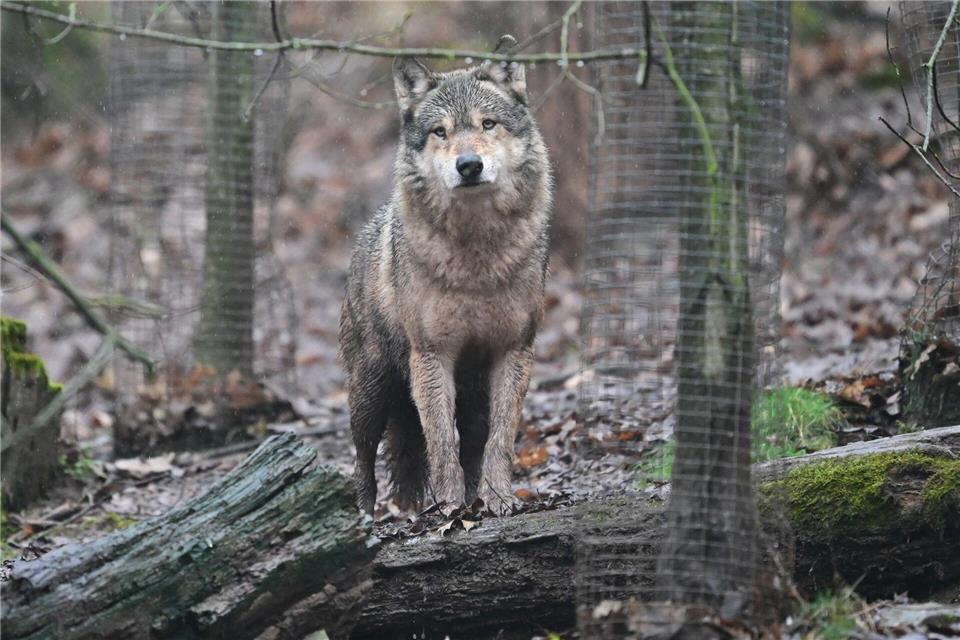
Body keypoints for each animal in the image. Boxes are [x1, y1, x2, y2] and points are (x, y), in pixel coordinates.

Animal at [338, 52, 553, 514]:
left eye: (488, 124)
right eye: (441, 132)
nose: (469, 165)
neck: (477, 261)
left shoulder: (514, 350)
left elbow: (500, 441)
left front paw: (497, 500)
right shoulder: (432, 355)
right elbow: (439, 440)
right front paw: (451, 508)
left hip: (470, 395)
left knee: (468, 441)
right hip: (371, 391)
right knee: (363, 459)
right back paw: (364, 515)